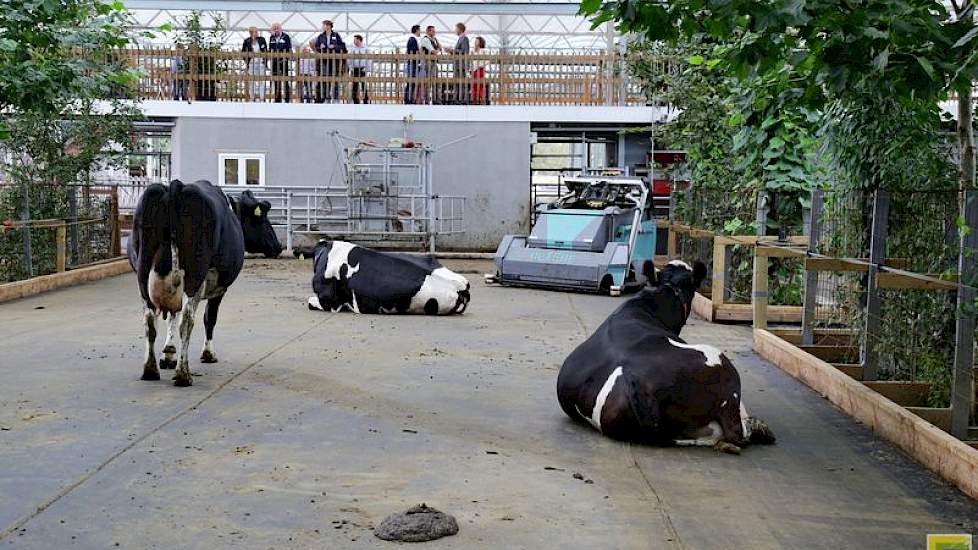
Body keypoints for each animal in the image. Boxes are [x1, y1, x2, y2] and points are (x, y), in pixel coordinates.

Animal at [127, 181, 244, 388]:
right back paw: (183, 375)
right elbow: (209, 318)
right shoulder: (219, 290)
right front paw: (208, 354)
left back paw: (150, 370)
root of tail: (176, 186)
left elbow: (172, 316)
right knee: (187, 321)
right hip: (194, 279)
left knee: (149, 320)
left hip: (142, 276)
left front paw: (168, 354)